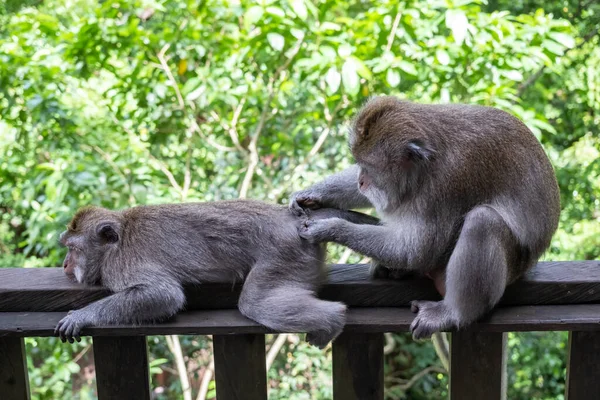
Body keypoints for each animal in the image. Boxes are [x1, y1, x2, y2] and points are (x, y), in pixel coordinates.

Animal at [54, 200, 378, 346]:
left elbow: (164, 295)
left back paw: (332, 319)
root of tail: (294, 219)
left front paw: (81, 316)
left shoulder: (122, 265)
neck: (117, 240)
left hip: (284, 255)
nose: (66, 265)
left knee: (255, 302)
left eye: (73, 248)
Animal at [290, 95, 564, 340]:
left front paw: (329, 228)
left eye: (370, 166)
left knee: (483, 221)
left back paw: (455, 312)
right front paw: (313, 194)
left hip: (514, 264)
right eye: (358, 163)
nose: (361, 180)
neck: (427, 163)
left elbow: (419, 250)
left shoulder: (448, 182)